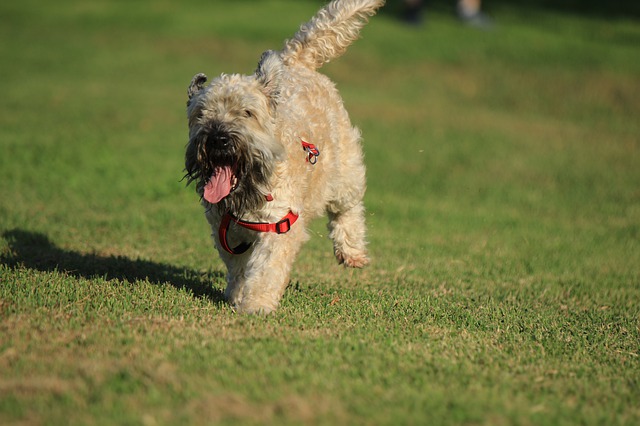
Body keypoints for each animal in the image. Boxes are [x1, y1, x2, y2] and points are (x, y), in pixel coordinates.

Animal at [185, 0, 384, 312]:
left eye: (247, 112)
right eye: (201, 113)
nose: (218, 139)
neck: (250, 190)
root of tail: (296, 61)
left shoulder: (278, 226)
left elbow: (266, 269)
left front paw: (256, 304)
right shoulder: (226, 230)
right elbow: (238, 267)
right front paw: (237, 295)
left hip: (344, 171)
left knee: (348, 209)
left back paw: (351, 251)